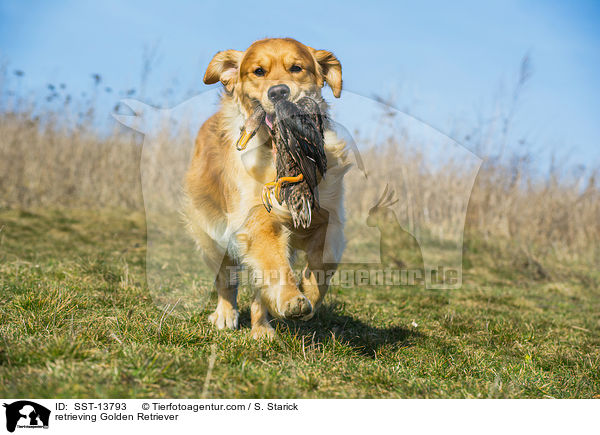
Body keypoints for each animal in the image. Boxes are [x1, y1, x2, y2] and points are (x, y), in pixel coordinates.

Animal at [185, 37, 350, 338]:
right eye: (258, 71)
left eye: (296, 68)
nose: (278, 93)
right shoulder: (258, 221)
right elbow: (273, 265)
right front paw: (291, 299)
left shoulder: (328, 216)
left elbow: (325, 261)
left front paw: (309, 294)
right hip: (211, 233)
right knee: (226, 277)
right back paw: (226, 314)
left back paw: (262, 329)